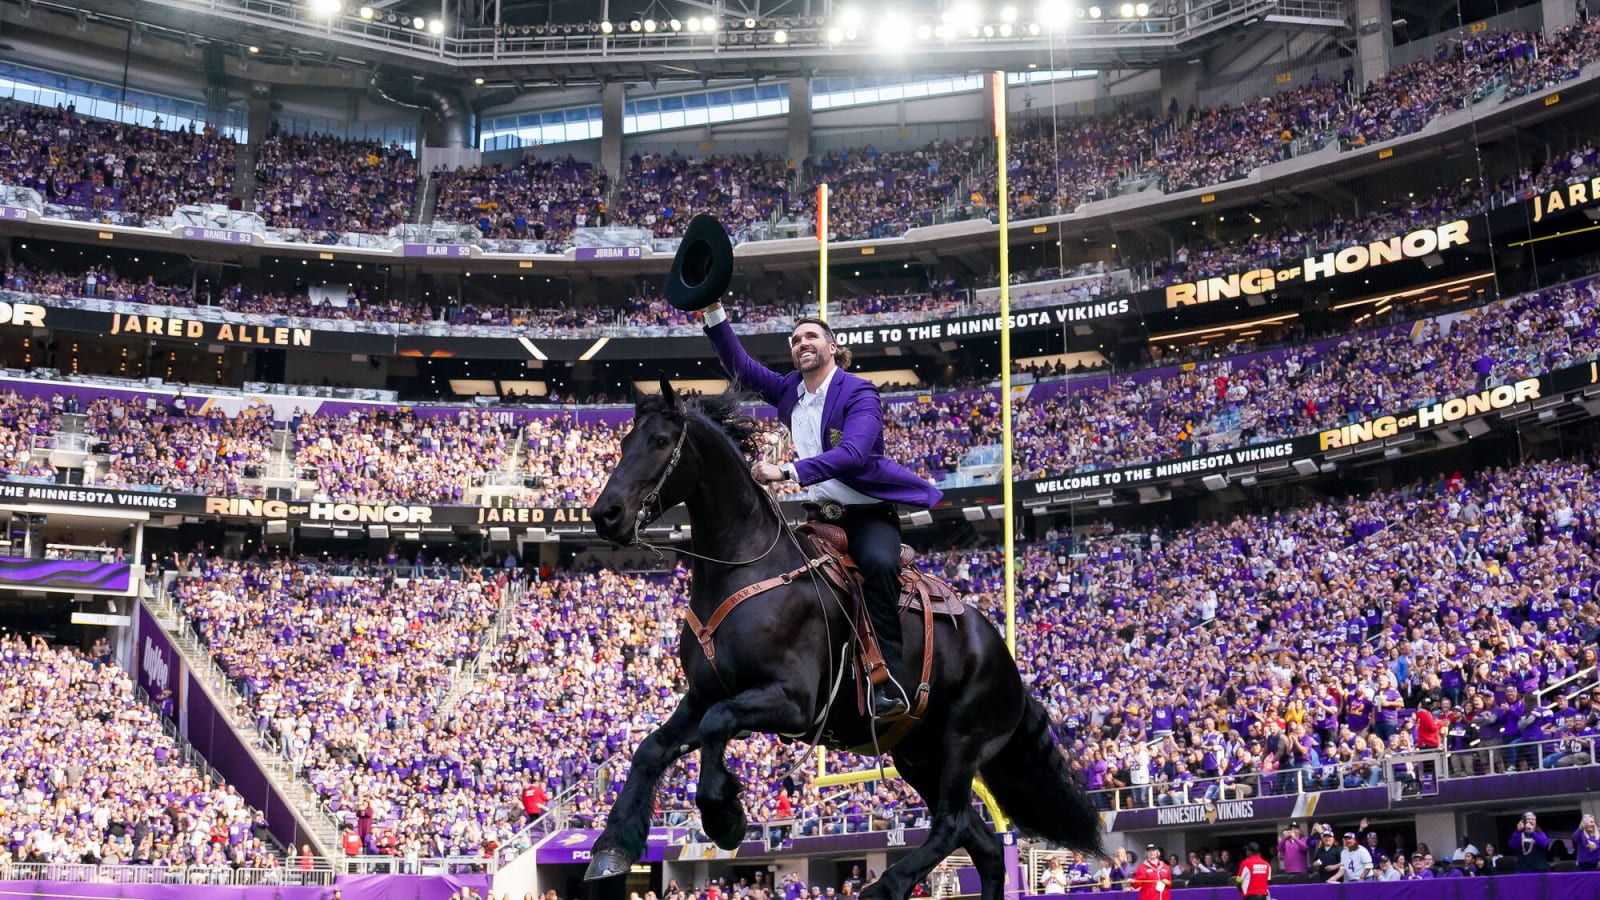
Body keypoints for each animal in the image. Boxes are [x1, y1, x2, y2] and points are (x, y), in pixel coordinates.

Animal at [585, 385, 1100, 896]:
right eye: (625, 441)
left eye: (660, 442)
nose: (604, 514)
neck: (746, 567)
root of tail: (1006, 662)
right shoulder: (702, 696)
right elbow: (651, 749)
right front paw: (612, 847)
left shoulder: (791, 702)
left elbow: (718, 724)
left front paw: (724, 816)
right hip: (919, 756)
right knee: (985, 846)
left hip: (963, 741)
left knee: (950, 825)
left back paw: (884, 885)